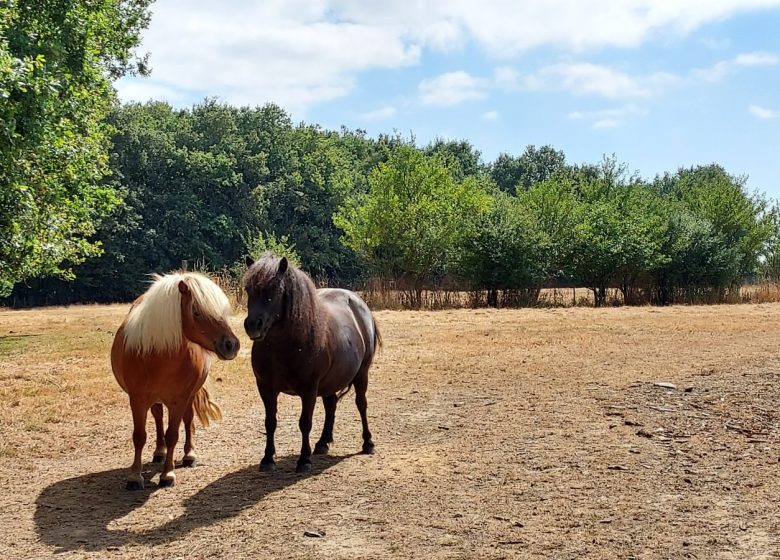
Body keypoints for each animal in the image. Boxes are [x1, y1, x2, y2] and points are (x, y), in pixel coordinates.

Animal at [109, 274, 238, 488]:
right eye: (196, 312)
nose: (232, 345)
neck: (159, 357)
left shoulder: (179, 400)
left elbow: (173, 435)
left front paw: (167, 475)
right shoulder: (137, 400)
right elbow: (139, 436)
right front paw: (135, 476)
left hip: (189, 397)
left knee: (188, 420)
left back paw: (189, 455)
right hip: (155, 400)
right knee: (158, 417)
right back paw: (159, 453)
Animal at [242, 254, 380, 472]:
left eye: (275, 289)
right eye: (248, 289)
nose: (253, 325)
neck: (286, 346)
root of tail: (359, 304)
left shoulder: (309, 389)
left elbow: (305, 423)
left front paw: (304, 460)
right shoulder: (265, 387)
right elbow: (270, 422)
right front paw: (267, 459)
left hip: (361, 374)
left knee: (361, 404)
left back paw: (368, 443)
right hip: (332, 379)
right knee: (331, 404)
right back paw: (323, 442)